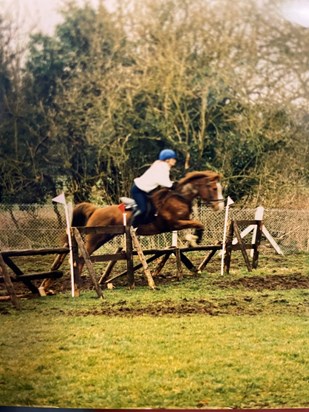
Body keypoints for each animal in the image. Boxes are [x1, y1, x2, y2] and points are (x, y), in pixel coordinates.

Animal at [47, 169, 221, 288]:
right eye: (214, 189)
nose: (219, 206)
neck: (179, 197)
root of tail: (95, 210)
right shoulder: (175, 223)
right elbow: (198, 223)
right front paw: (193, 240)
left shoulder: (180, 222)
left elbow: (198, 224)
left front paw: (191, 239)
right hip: (96, 238)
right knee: (82, 256)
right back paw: (79, 283)